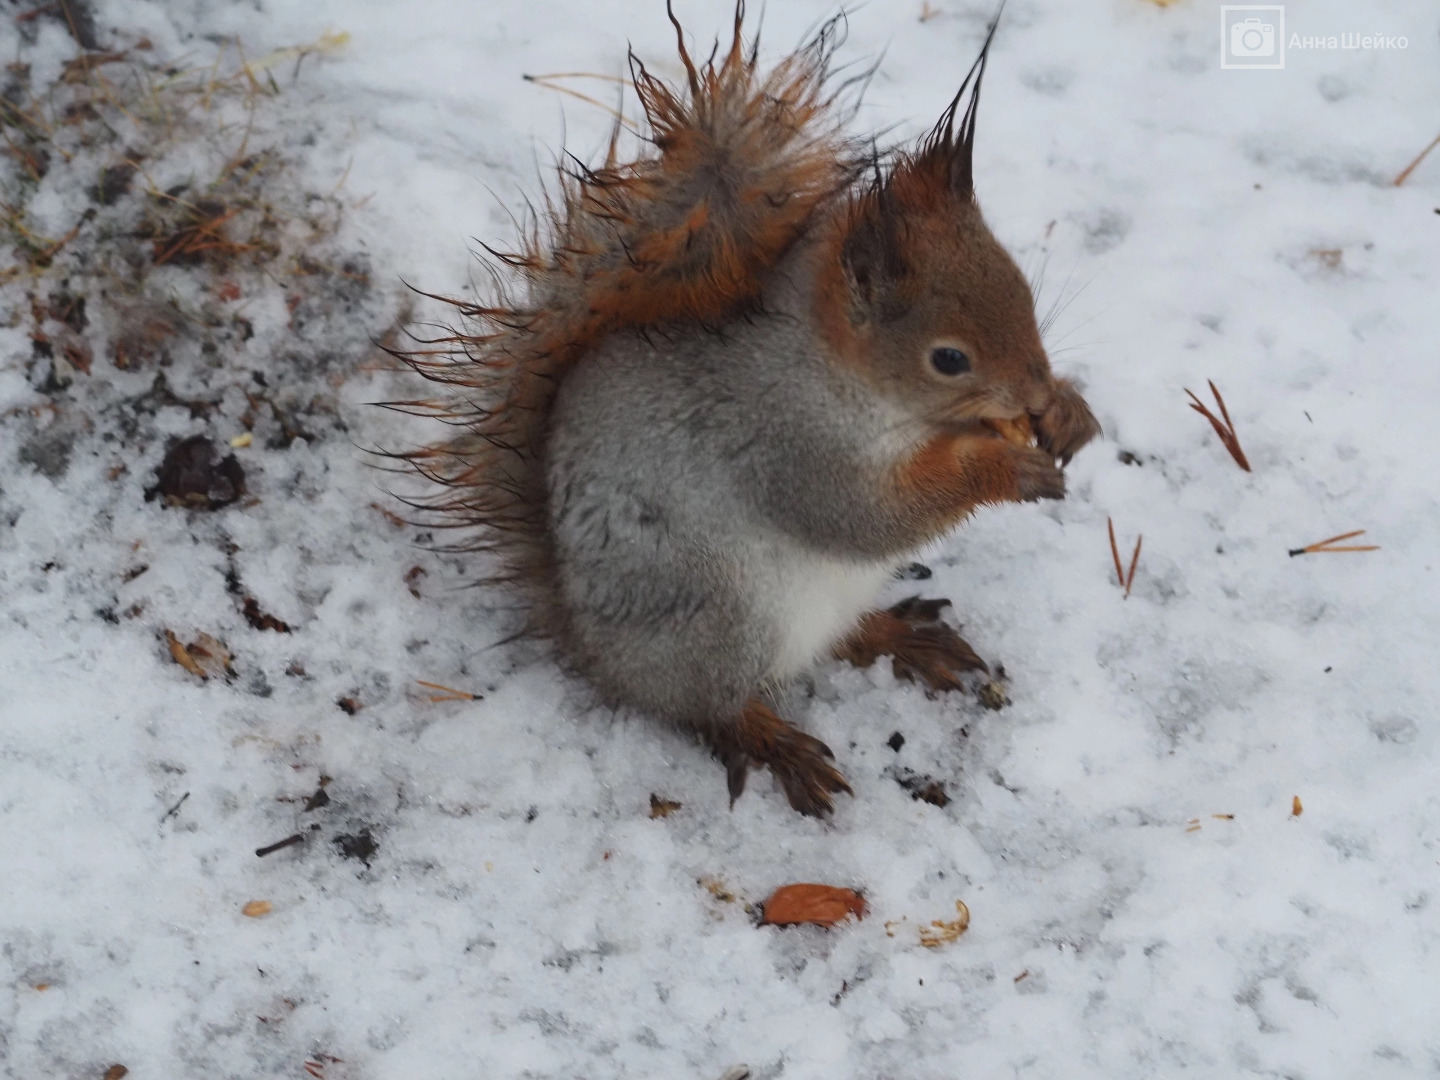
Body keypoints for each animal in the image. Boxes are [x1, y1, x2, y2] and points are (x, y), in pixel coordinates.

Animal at [388, 4, 1094, 817]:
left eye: (1023, 290)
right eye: (948, 359)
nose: (1033, 395)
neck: (845, 379)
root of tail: (595, 651)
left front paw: (1069, 414)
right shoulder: (786, 440)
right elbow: (865, 517)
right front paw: (1009, 468)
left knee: (837, 639)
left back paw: (901, 636)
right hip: (724, 621)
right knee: (708, 705)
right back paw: (775, 741)